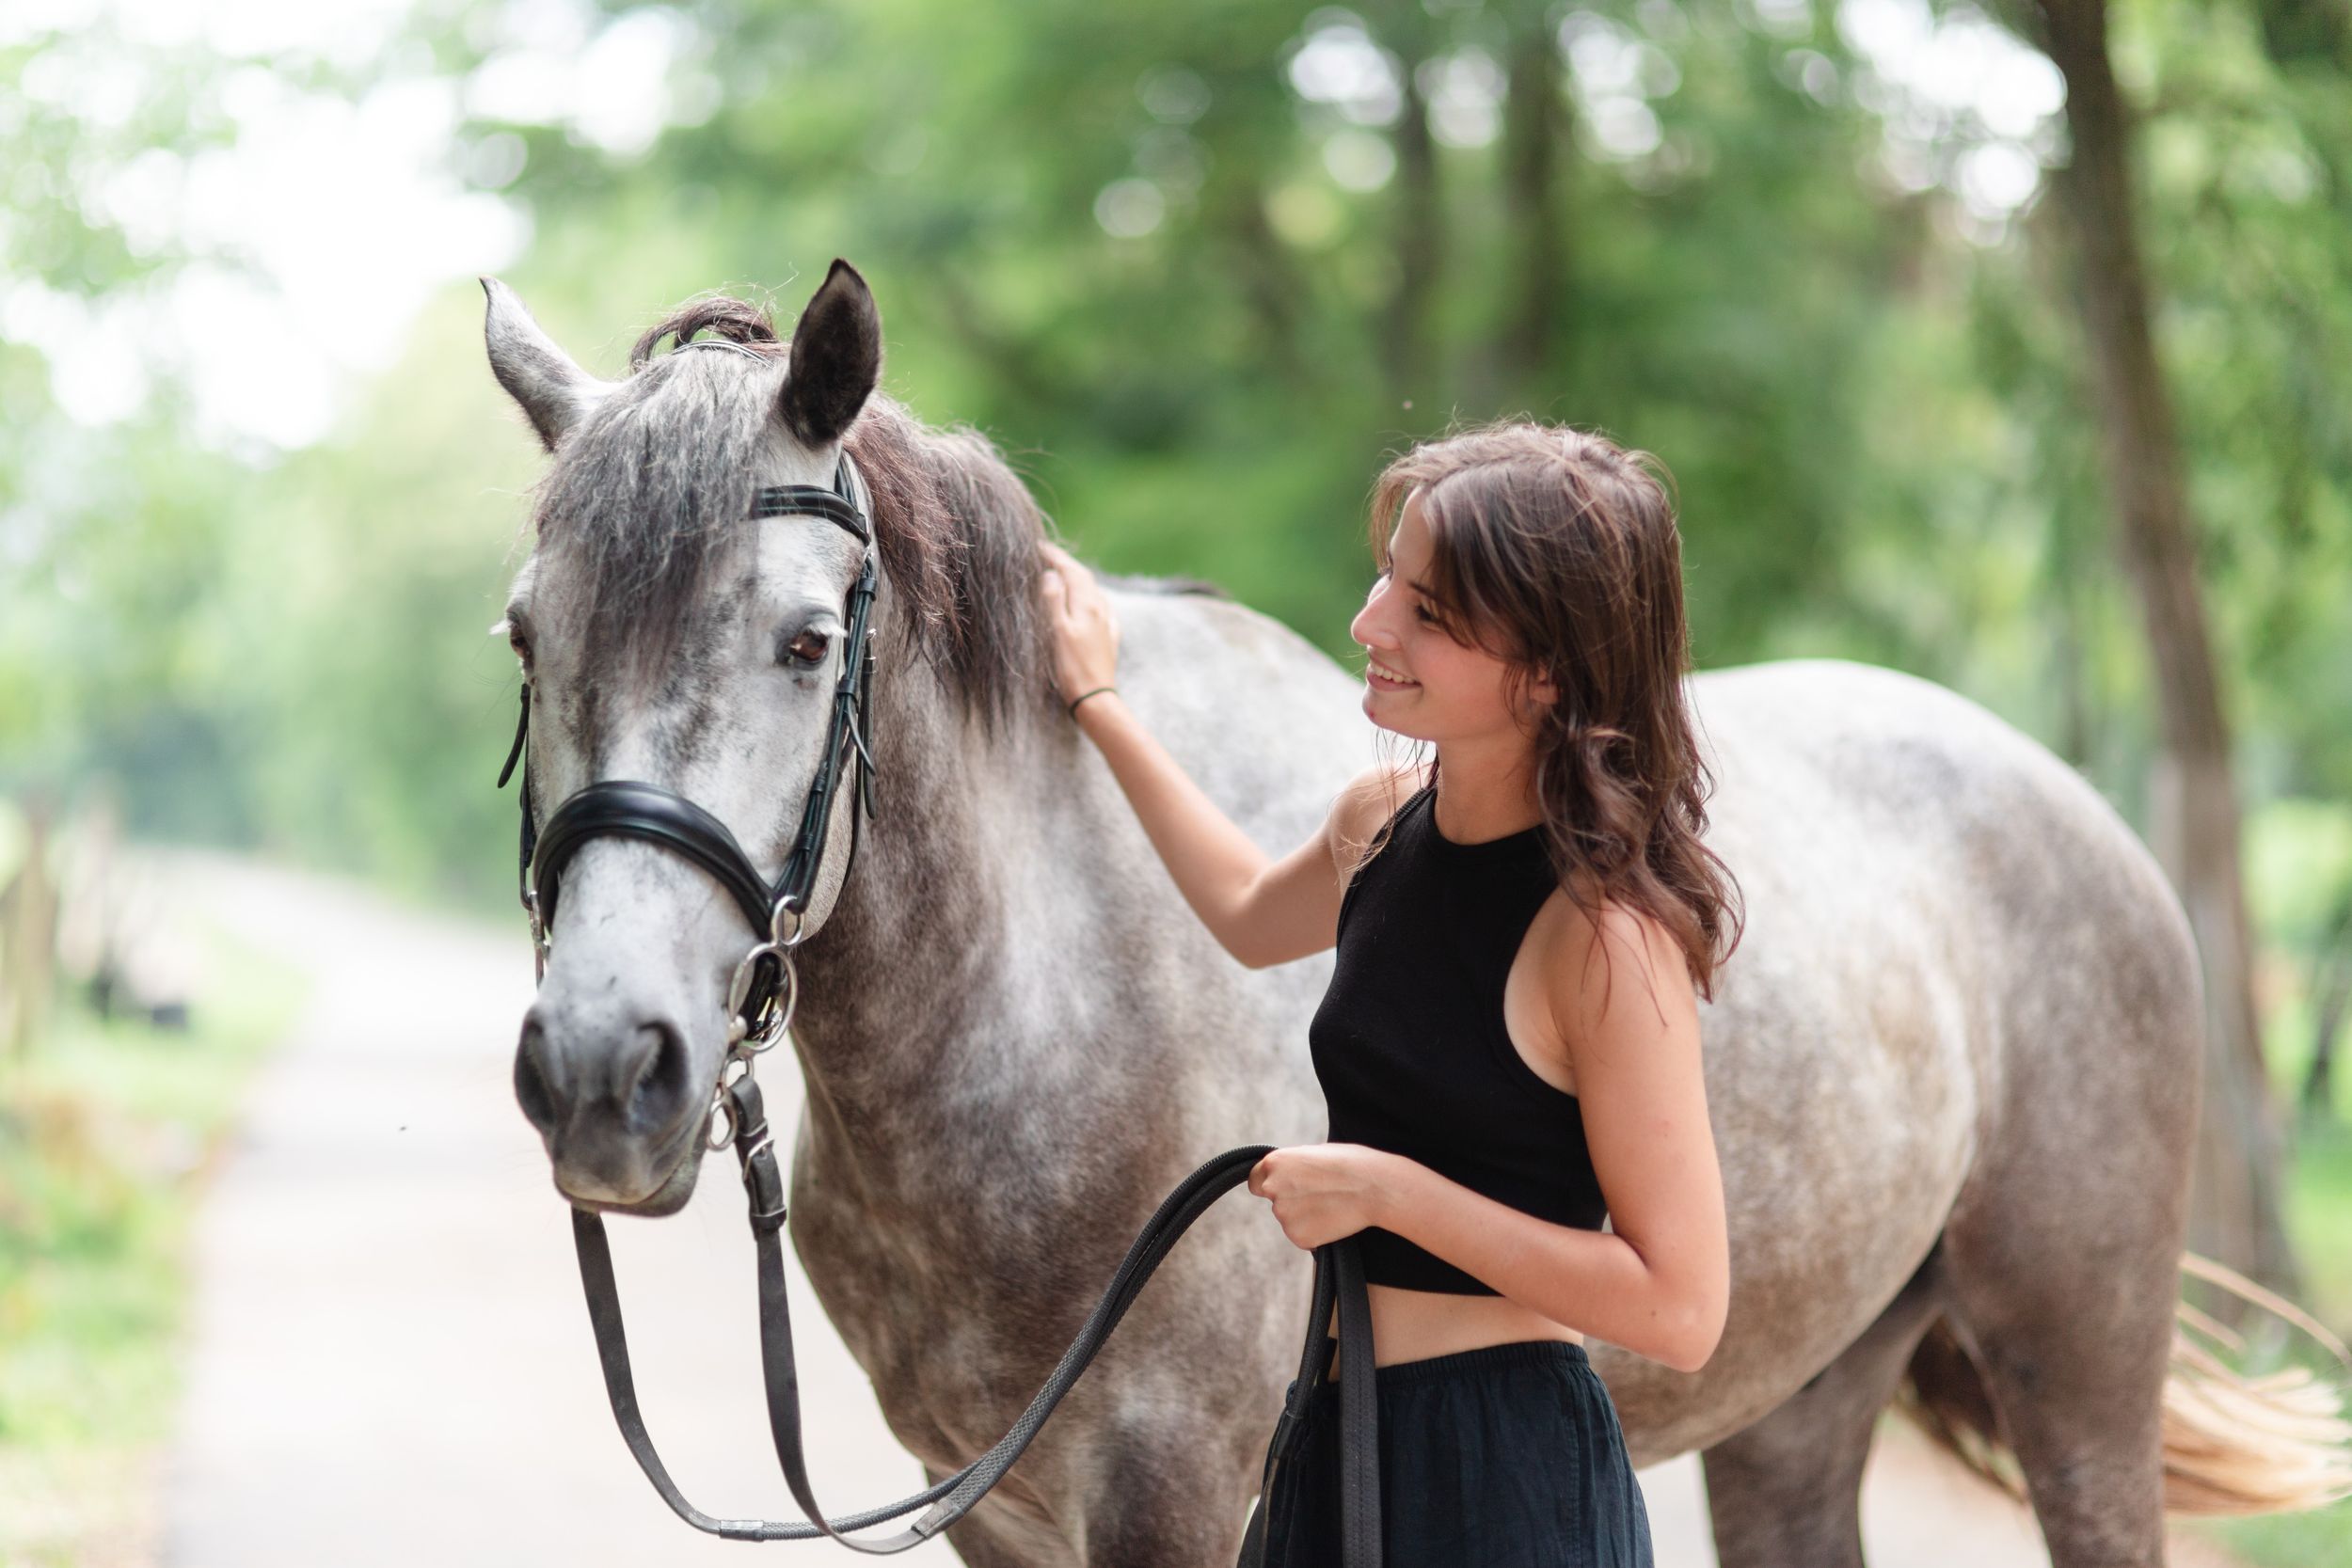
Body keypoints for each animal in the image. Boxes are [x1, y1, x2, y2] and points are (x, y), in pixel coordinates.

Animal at [481, 259, 2338, 1568]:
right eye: (526, 633)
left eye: (805, 641)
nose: (603, 1072)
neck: (1058, 984)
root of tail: (2075, 807)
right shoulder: (986, 1503)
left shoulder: (1174, 1495)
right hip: (1802, 1403)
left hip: (2078, 1377)